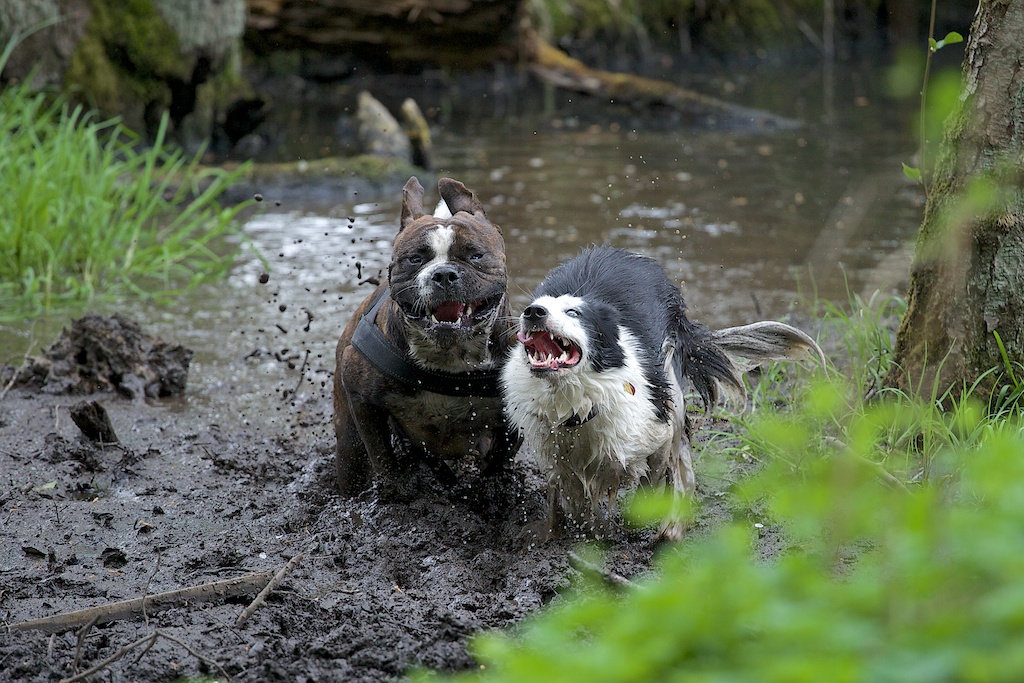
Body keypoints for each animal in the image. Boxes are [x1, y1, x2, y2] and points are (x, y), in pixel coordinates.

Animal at [499, 245, 827, 540]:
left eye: (573, 312)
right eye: (537, 306)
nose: (533, 312)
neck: (576, 404)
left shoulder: (656, 430)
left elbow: (654, 477)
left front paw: (642, 523)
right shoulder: (553, 454)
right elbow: (569, 497)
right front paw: (570, 531)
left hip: (671, 382)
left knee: (680, 458)